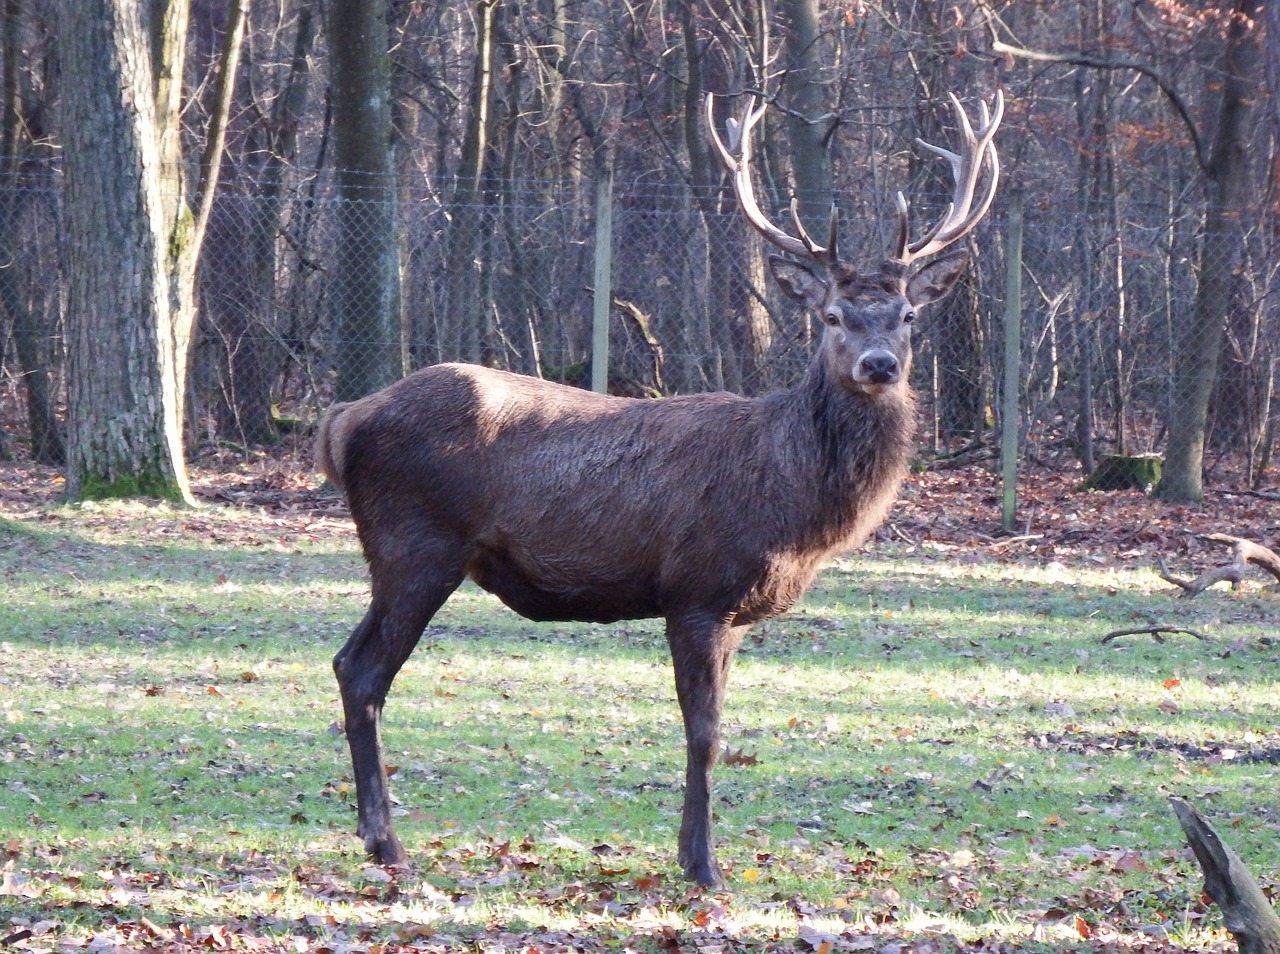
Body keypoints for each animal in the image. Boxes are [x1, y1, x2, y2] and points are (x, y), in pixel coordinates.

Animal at [317, 87, 998, 886]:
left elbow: (717, 728)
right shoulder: (696, 590)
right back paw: (387, 843)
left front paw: (690, 853)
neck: (794, 510)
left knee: (350, 663)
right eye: (832, 315)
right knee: (362, 670)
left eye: (908, 315)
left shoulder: (735, 613)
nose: (880, 364)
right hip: (415, 543)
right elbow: (704, 731)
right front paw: (704, 866)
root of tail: (344, 419)